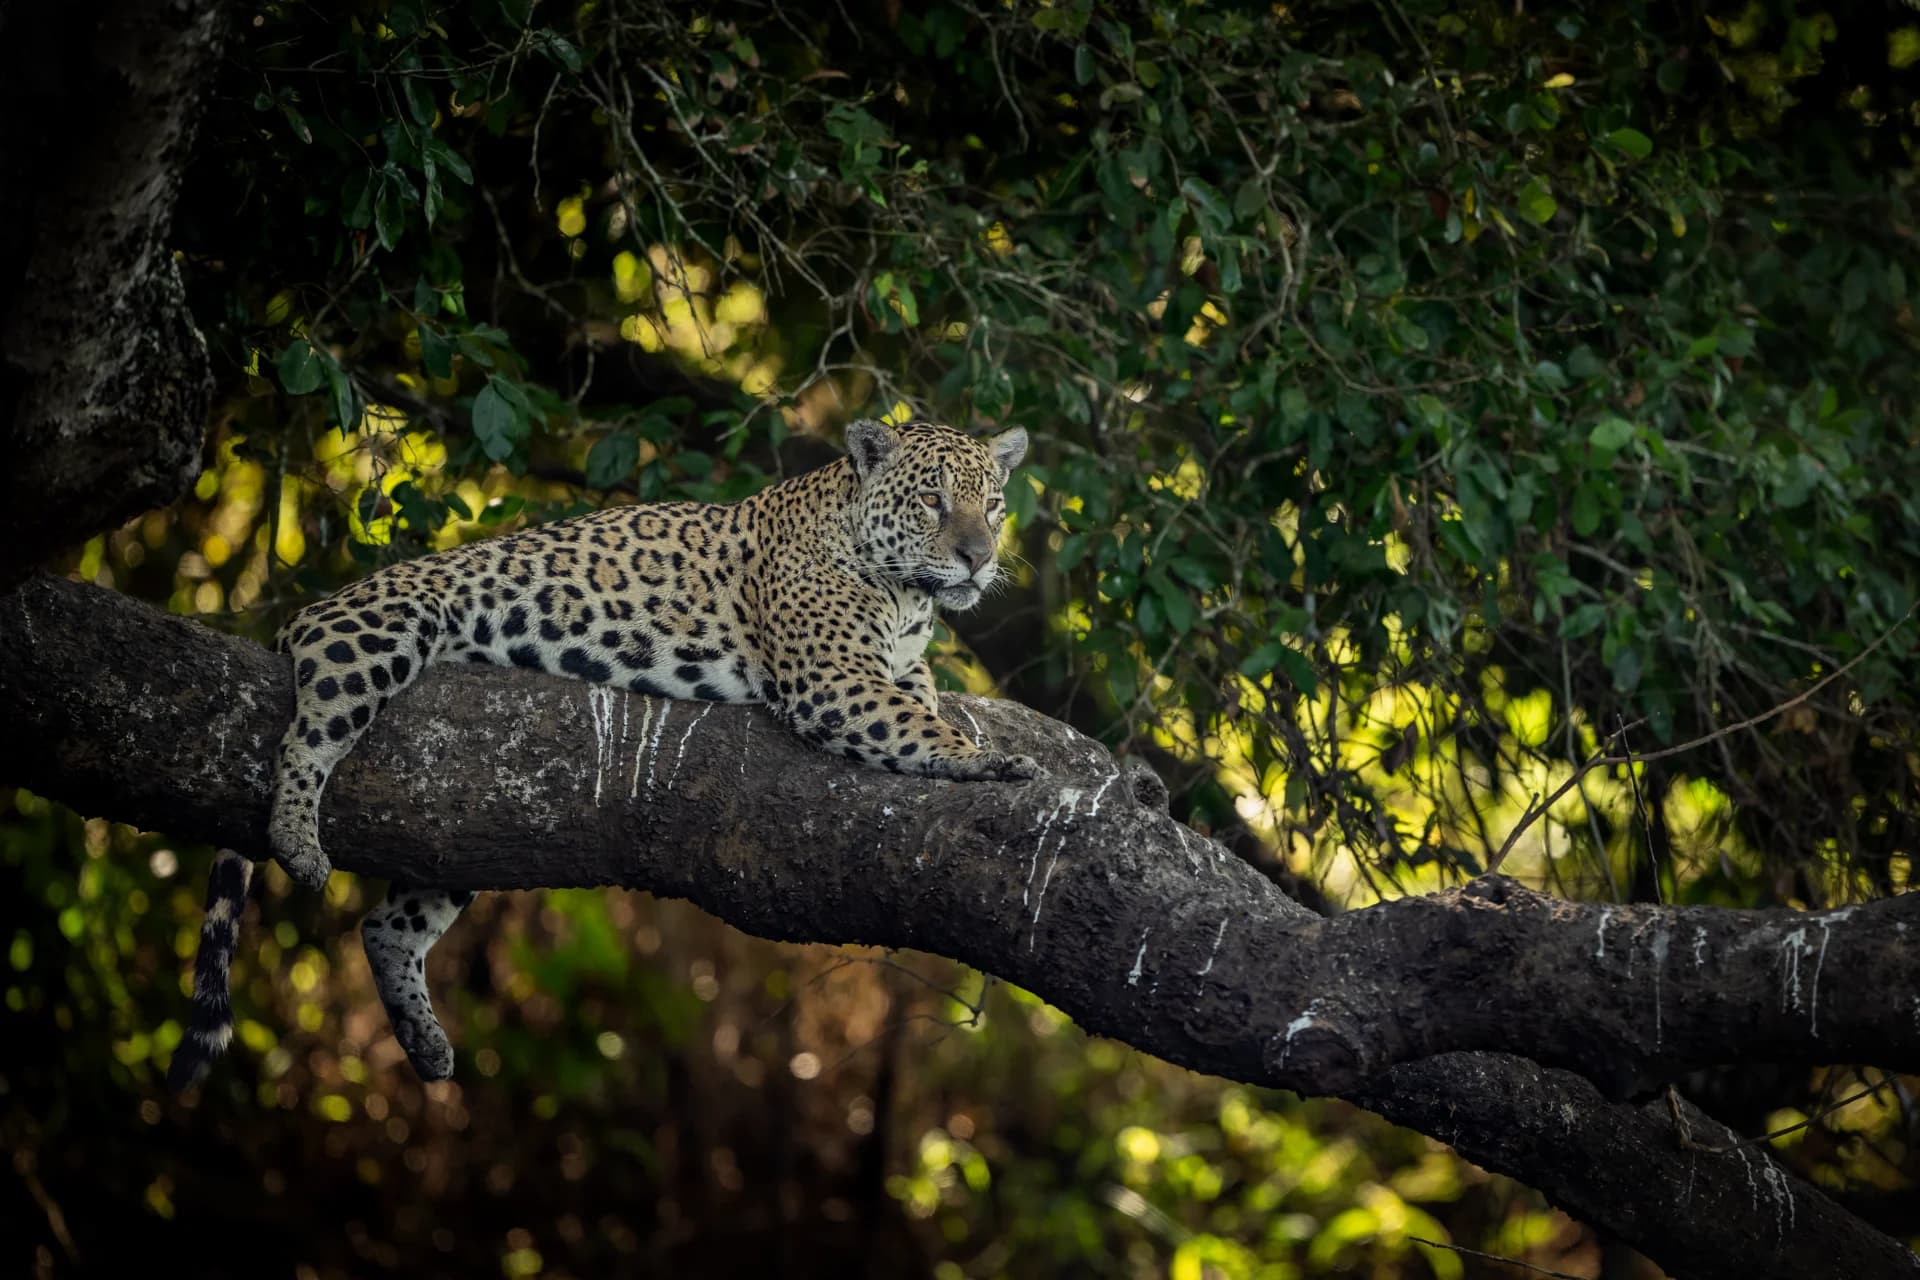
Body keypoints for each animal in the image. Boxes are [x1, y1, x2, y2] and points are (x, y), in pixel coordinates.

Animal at [168, 419, 1041, 1091]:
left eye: (993, 506)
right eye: (933, 501)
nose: (977, 556)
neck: (907, 597)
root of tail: (305, 614)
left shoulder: (891, 666)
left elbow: (920, 699)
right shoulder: (833, 679)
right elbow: (921, 728)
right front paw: (993, 763)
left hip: (465, 834)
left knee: (388, 926)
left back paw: (426, 1042)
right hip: (378, 632)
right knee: (307, 736)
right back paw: (297, 841)